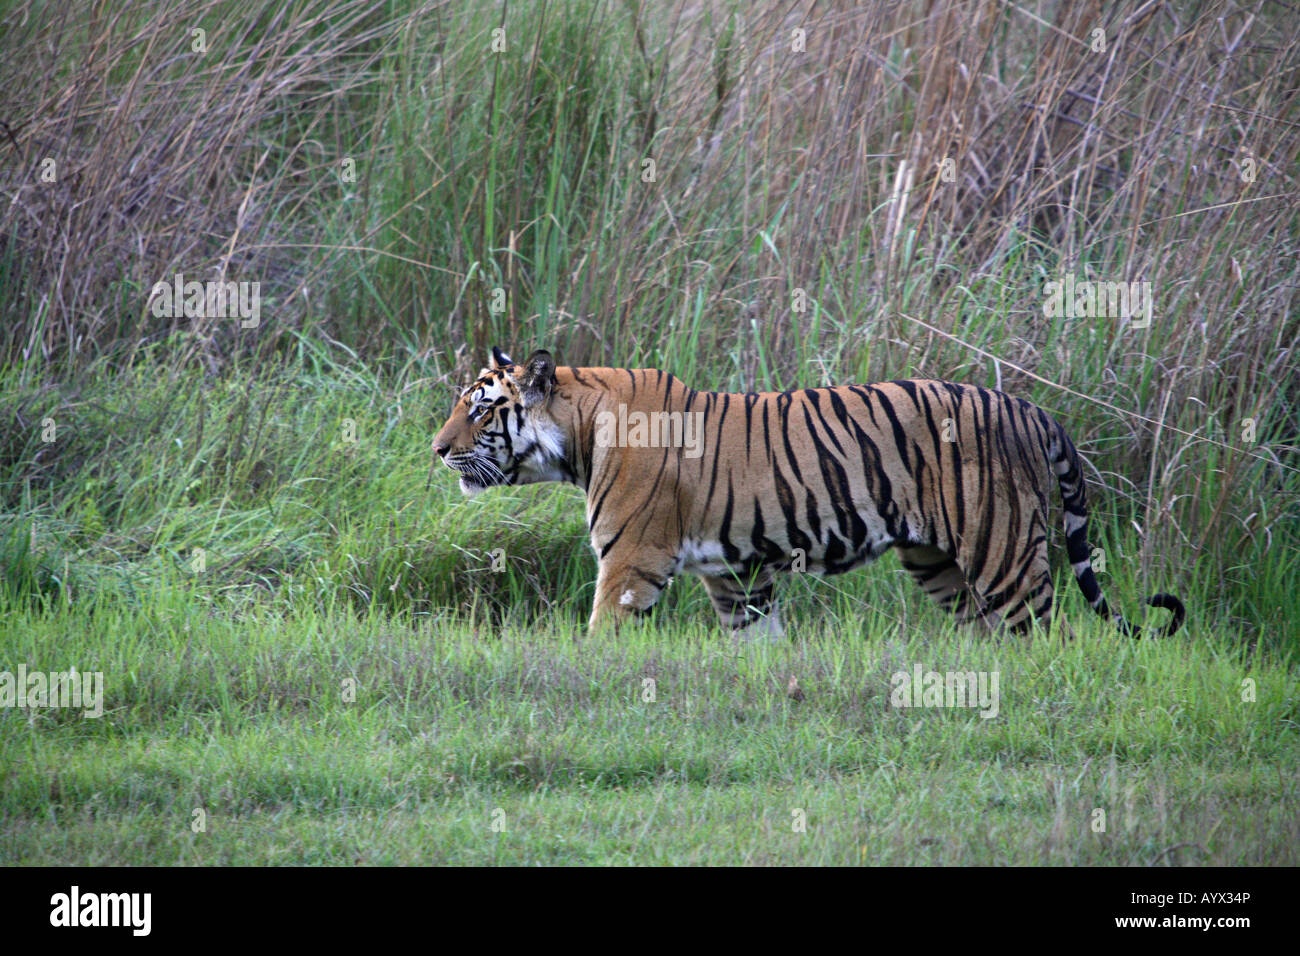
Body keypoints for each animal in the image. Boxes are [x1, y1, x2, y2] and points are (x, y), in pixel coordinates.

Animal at [431, 348, 1185, 639]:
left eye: (480, 410)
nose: (436, 450)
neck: (581, 433)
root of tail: (1030, 407)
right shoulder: (737, 577)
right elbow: (758, 641)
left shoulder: (630, 564)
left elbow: (600, 640)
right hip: (939, 564)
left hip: (1004, 553)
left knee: (1044, 637)